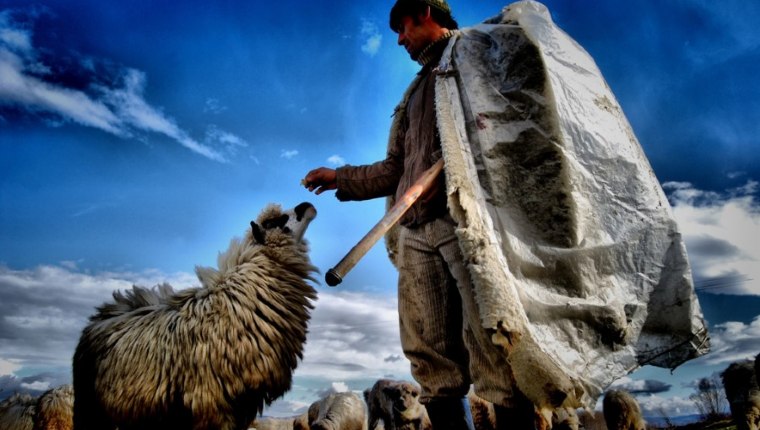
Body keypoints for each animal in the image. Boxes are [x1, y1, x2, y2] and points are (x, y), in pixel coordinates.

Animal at [73, 202, 318, 430]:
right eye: (273, 222)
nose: (307, 205)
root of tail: (101, 315)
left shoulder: (243, 405)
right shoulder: (212, 403)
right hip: (91, 409)